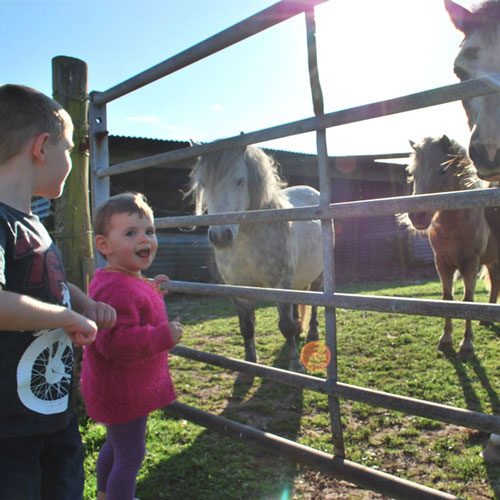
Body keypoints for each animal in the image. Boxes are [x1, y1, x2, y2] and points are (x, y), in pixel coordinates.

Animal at [188, 145, 324, 372]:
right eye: (204, 184)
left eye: (240, 180)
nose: (220, 236)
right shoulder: (238, 288)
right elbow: (247, 327)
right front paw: (250, 362)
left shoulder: (280, 285)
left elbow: (285, 326)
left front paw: (295, 365)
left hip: (318, 275)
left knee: (314, 301)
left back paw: (312, 333)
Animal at [406, 135, 500, 358]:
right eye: (413, 173)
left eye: (442, 170)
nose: (417, 216)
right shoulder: (442, 264)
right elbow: (447, 299)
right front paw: (446, 340)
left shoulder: (470, 264)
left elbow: (467, 301)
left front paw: (466, 344)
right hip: (491, 260)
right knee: (495, 281)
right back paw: (487, 318)